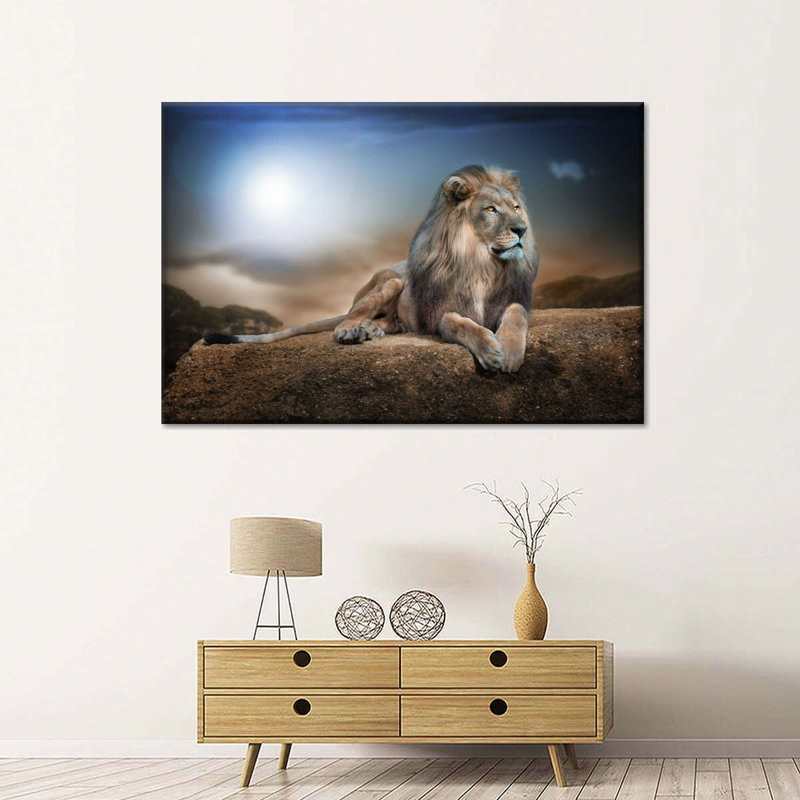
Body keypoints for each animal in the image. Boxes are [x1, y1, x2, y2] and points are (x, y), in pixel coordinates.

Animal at [205, 165, 539, 372]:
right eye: (491, 209)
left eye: (517, 208)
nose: (522, 230)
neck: (483, 263)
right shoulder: (441, 313)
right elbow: (464, 325)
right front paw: (490, 349)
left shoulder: (512, 300)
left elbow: (516, 315)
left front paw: (509, 351)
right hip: (390, 282)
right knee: (345, 320)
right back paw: (353, 331)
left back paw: (371, 330)